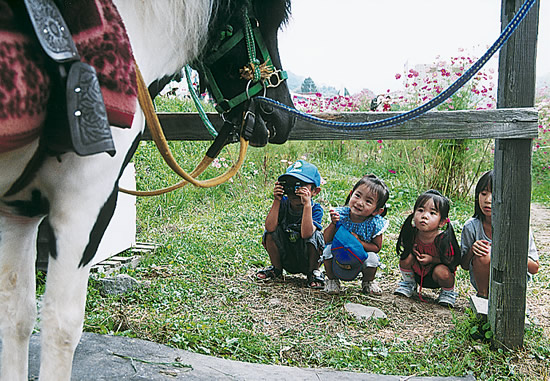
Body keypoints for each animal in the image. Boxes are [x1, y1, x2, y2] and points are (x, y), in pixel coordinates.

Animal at [0, 1, 296, 378]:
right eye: (260, 21)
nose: (283, 119)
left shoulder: (18, 212)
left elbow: (17, 318)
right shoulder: (83, 205)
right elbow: (61, 327)